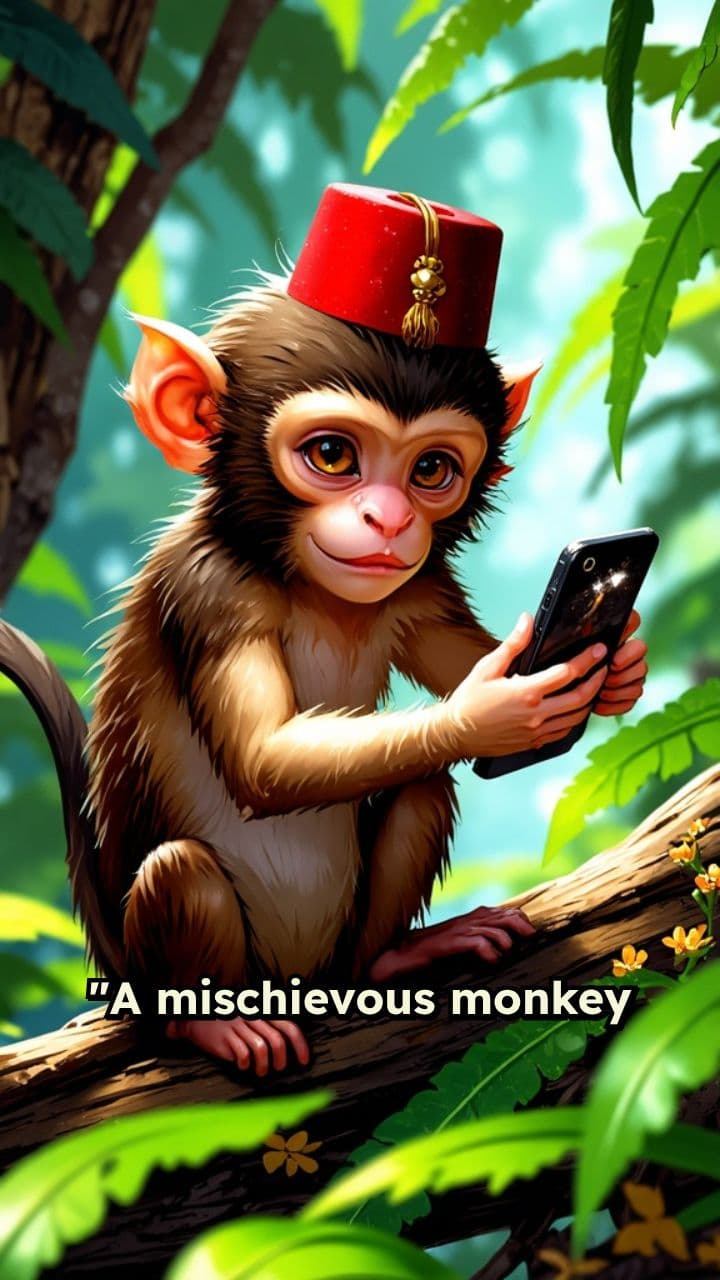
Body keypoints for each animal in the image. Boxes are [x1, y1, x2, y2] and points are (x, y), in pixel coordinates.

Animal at [0, 190, 648, 1076]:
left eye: (432, 470)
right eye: (334, 456)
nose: (391, 518)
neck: (308, 587)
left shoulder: (420, 588)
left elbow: (457, 655)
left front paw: (615, 662)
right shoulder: (211, 590)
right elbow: (262, 762)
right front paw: (492, 712)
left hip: (338, 948)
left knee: (420, 790)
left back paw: (396, 957)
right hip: (164, 962)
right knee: (180, 874)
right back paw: (209, 1025)